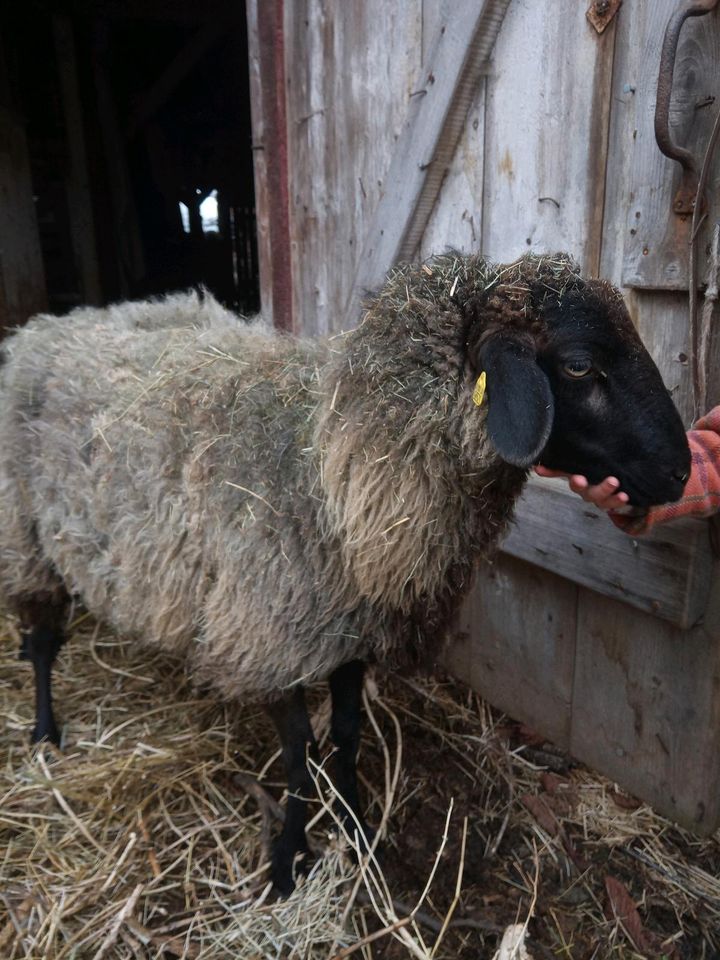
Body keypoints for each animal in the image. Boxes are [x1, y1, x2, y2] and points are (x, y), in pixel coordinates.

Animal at [0, 249, 692, 892]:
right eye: (579, 365)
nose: (682, 473)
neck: (333, 473)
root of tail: (43, 328)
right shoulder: (266, 641)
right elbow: (299, 755)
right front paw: (288, 858)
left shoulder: (354, 632)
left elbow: (348, 734)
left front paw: (358, 828)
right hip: (26, 539)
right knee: (43, 642)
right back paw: (44, 730)